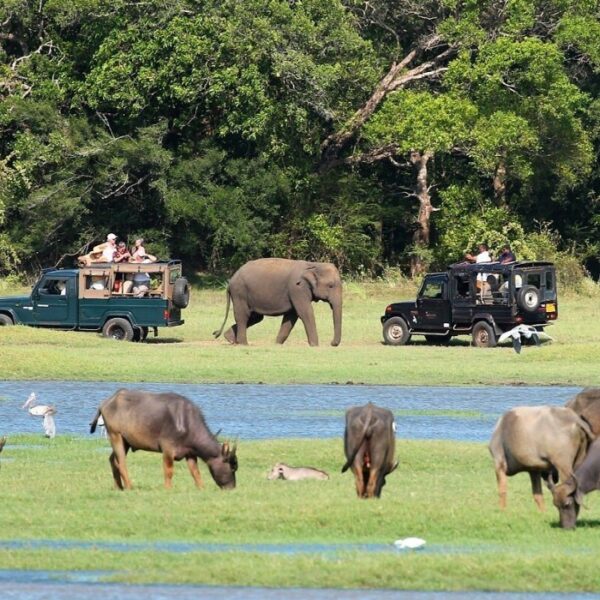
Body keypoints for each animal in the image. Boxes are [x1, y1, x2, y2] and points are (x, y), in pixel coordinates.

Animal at [90, 390, 238, 492]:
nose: (231, 488)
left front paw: (201, 488)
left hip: (125, 441)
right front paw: (168, 488)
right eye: (232, 467)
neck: (186, 423)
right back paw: (129, 486)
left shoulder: (190, 453)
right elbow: (169, 470)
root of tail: (106, 402)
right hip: (115, 435)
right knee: (121, 462)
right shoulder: (167, 450)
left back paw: (118, 487)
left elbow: (195, 472)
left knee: (112, 460)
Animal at [213, 258, 342, 346]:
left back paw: (230, 339)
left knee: (255, 317)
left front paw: (277, 344)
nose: (332, 343)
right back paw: (243, 344)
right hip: (240, 293)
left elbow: (291, 316)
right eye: (331, 286)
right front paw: (315, 345)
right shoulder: (297, 289)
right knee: (243, 315)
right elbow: (305, 312)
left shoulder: (295, 292)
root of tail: (230, 281)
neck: (314, 265)